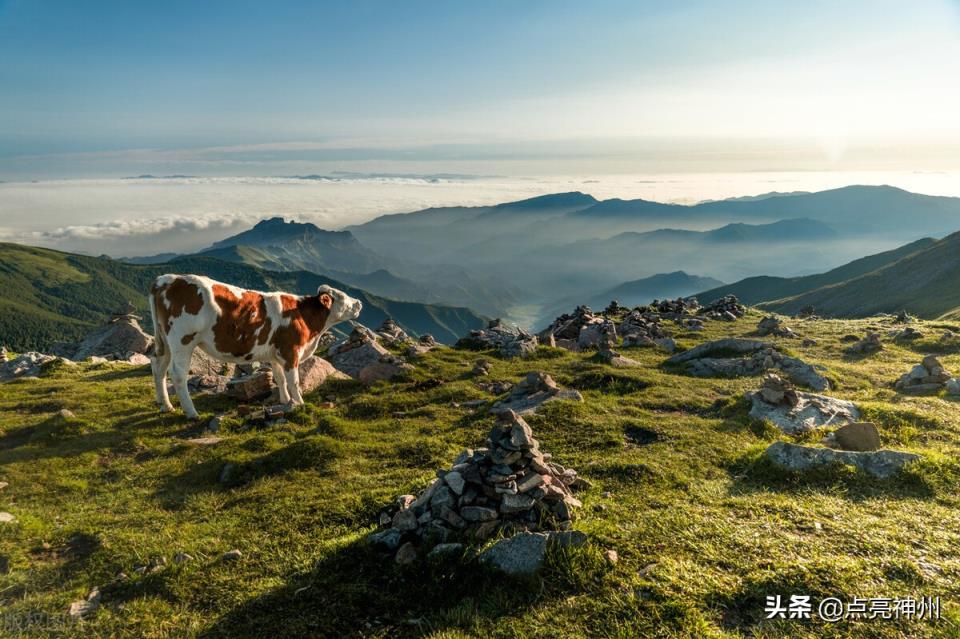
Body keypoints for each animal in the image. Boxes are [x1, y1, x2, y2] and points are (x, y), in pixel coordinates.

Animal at [148, 276, 362, 420]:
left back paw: (165, 405)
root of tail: (165, 280)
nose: (359, 303)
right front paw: (299, 403)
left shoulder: (276, 354)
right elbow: (293, 381)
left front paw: (285, 400)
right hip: (183, 341)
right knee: (177, 374)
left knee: (158, 366)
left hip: (165, 341)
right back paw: (191, 412)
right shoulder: (291, 350)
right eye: (342, 297)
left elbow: (279, 378)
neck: (305, 317)